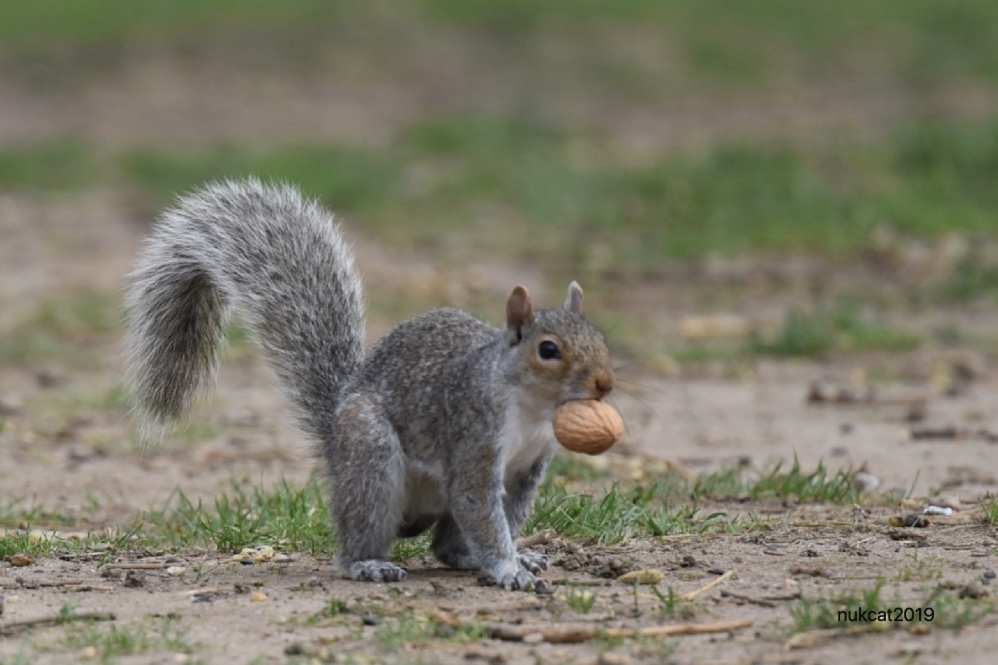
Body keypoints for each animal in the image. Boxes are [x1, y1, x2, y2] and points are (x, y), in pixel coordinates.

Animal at [121, 178, 612, 592]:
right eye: (548, 350)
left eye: (600, 336)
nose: (604, 383)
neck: (531, 409)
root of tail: (336, 439)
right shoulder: (473, 441)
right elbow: (483, 514)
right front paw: (509, 569)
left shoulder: (527, 468)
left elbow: (504, 517)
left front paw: (515, 560)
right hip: (370, 459)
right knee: (362, 535)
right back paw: (367, 564)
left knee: (446, 547)